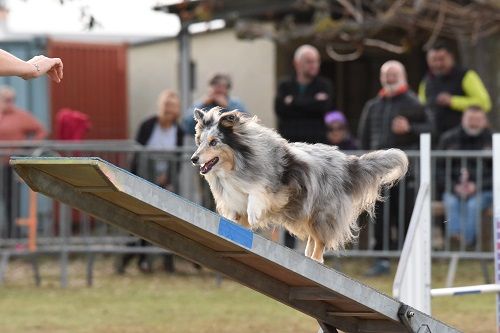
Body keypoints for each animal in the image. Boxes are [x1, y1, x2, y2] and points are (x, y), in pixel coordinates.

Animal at [189, 106, 408, 262]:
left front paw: (254, 214)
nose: (193, 159)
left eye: (214, 142)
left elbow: (256, 195)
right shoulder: (235, 203)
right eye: (200, 141)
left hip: (322, 213)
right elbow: (238, 219)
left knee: (321, 240)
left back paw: (316, 260)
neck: (235, 166)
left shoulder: (276, 189)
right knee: (313, 238)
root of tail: (348, 164)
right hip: (308, 214)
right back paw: (308, 257)